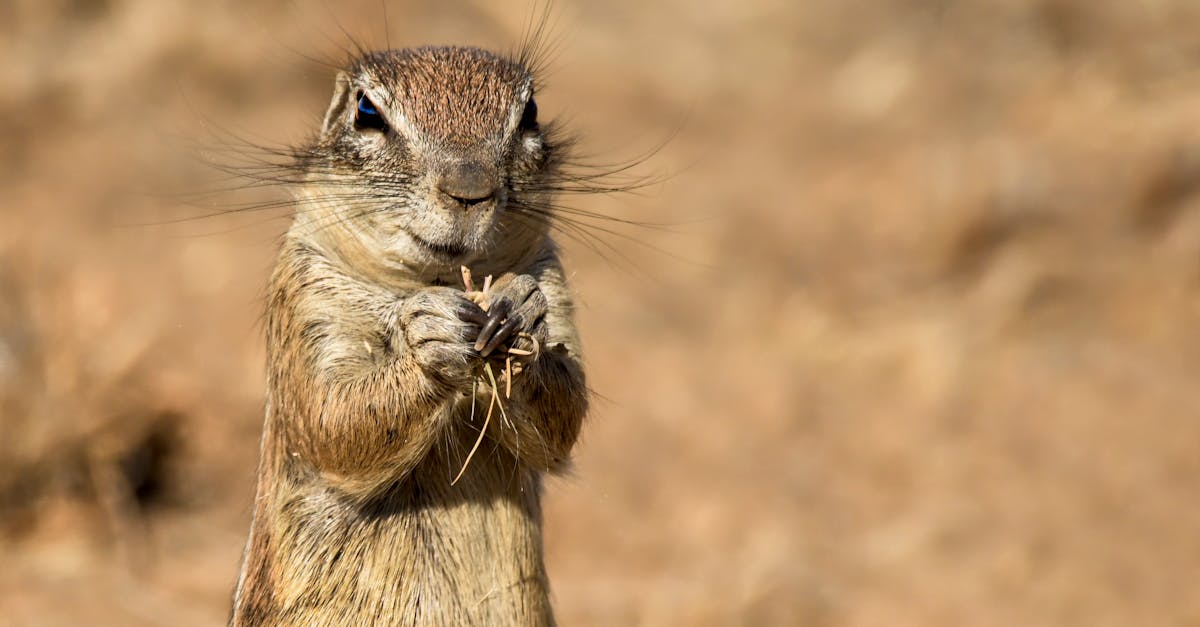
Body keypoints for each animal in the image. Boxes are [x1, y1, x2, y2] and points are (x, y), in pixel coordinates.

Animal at [228, 45, 590, 624]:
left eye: (530, 112)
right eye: (366, 112)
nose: (469, 190)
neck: (432, 279)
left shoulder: (551, 274)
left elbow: (566, 414)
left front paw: (521, 312)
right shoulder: (305, 301)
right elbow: (332, 419)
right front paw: (429, 338)